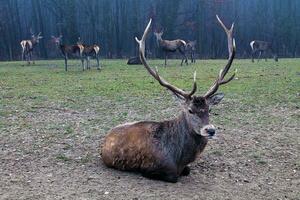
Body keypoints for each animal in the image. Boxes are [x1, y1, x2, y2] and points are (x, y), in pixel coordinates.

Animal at [101, 16, 237, 184]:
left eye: (209, 109)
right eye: (190, 110)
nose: (210, 130)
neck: (179, 158)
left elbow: (188, 170)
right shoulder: (152, 167)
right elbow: (173, 177)